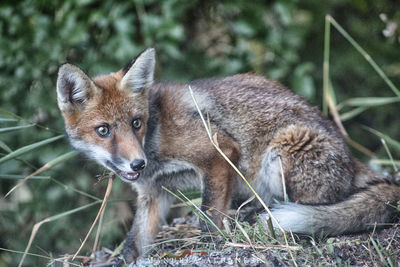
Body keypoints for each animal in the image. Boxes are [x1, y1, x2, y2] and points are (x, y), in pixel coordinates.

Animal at [57, 47, 400, 264]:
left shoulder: (219, 153)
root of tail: (350, 155)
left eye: (136, 123)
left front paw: (207, 246)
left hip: (282, 152)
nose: (137, 163)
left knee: (319, 205)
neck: (156, 137)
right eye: (103, 130)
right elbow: (135, 243)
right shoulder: (153, 193)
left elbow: (209, 217)